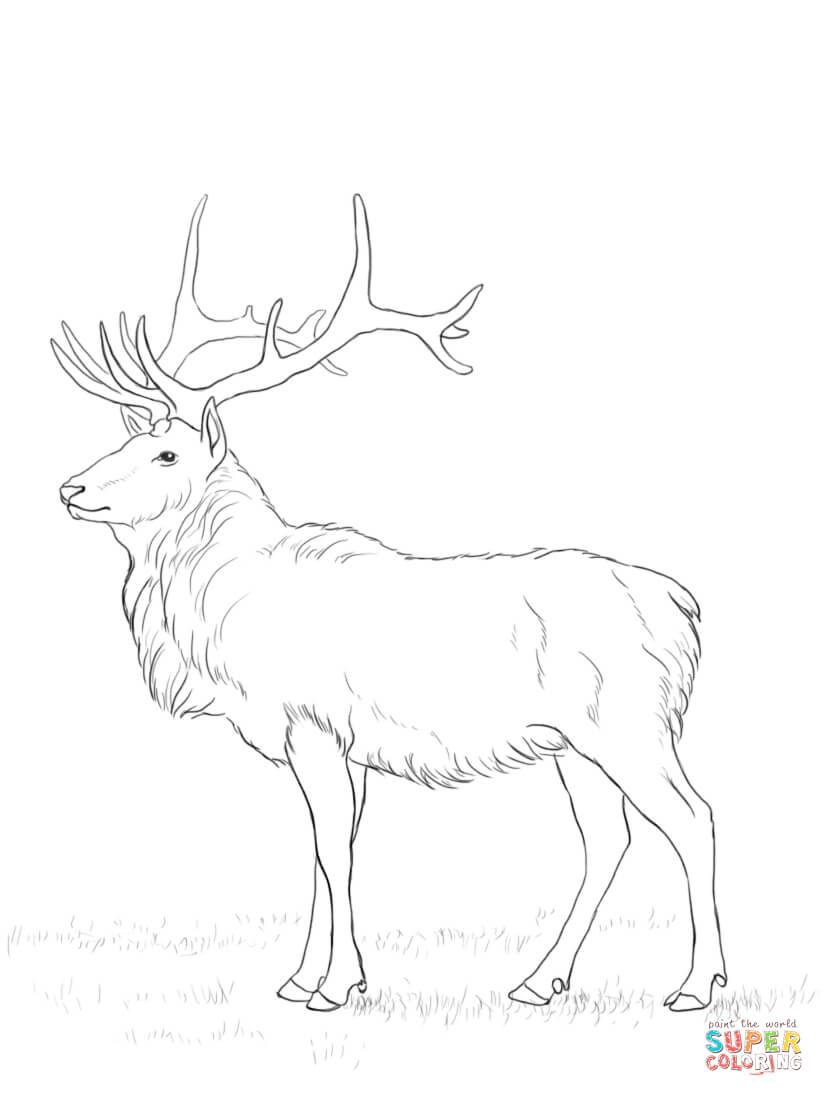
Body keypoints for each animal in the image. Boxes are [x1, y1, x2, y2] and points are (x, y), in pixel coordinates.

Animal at [53, 195, 726, 1013]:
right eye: (123, 443)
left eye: (166, 454)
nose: (72, 488)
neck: (215, 625)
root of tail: (683, 606)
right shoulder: (333, 744)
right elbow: (324, 849)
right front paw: (299, 978)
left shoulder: (312, 723)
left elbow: (333, 850)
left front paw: (337, 985)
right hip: (574, 743)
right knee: (609, 838)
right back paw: (540, 980)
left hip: (633, 725)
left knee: (693, 819)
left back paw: (697, 984)